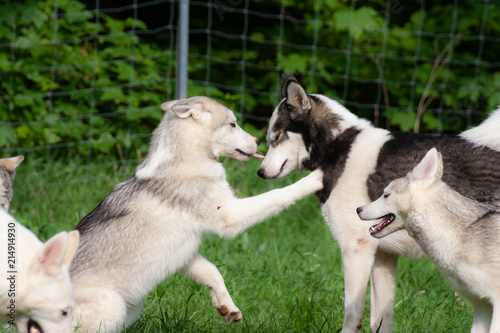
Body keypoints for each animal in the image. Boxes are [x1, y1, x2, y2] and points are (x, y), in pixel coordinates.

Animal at [68, 96, 322, 332]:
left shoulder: (184, 252)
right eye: (233, 124)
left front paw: (227, 309)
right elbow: (278, 194)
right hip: (114, 306)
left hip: (132, 307)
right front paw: (315, 178)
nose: (258, 141)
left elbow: (213, 272)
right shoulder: (229, 216)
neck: (186, 159)